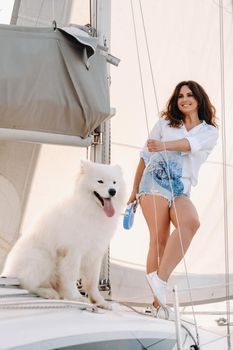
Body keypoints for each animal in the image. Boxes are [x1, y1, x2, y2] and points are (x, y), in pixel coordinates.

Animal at [1, 160, 125, 308]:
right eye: (100, 181)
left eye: (114, 182)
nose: (112, 191)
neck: (91, 211)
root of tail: (8, 272)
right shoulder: (72, 251)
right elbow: (71, 276)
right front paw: (76, 298)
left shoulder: (94, 254)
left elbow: (92, 282)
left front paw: (99, 301)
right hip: (42, 258)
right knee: (27, 284)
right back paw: (49, 293)